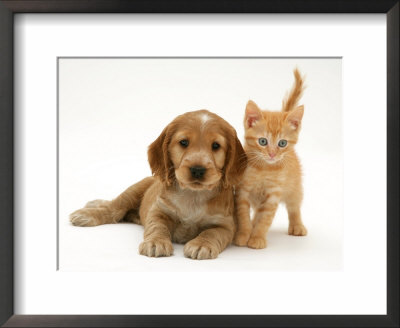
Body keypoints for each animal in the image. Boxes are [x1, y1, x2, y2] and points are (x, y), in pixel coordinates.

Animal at [71, 109, 247, 258]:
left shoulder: (225, 224)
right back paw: (88, 212)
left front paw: (202, 245)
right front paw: (156, 243)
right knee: (114, 207)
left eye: (216, 146)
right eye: (184, 142)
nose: (197, 170)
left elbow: (211, 233)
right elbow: (157, 227)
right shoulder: (158, 210)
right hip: (135, 190)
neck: (193, 195)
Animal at [233, 68, 308, 249]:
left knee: (294, 205)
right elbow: (243, 215)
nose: (272, 154)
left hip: (295, 187)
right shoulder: (242, 190)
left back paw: (297, 225)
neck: (264, 168)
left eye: (282, 143)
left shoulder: (273, 194)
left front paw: (257, 237)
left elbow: (265, 219)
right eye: (262, 141)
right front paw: (243, 234)